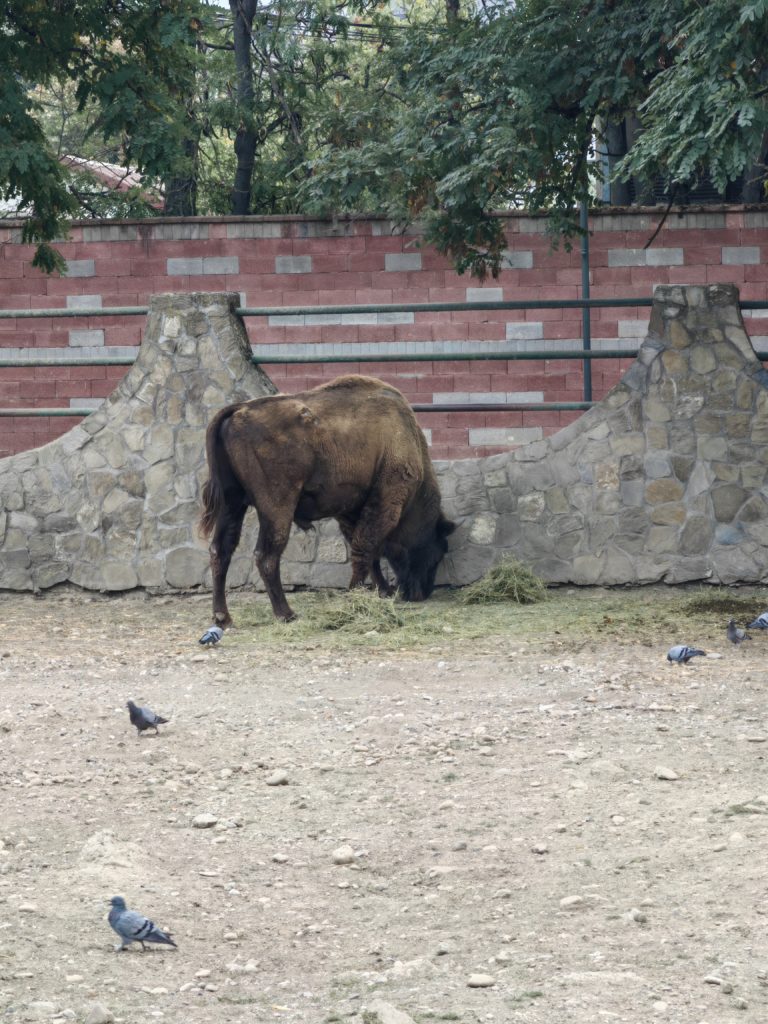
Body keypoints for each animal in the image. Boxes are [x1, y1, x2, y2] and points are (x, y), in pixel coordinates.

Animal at [198, 374, 456, 622]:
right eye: (437, 552)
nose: (420, 593)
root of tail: (240, 409)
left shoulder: (351, 511)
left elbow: (366, 551)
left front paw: (380, 591)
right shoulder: (384, 503)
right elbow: (366, 547)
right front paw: (356, 594)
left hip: (231, 503)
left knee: (221, 550)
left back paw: (222, 617)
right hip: (276, 506)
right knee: (266, 555)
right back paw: (286, 613)